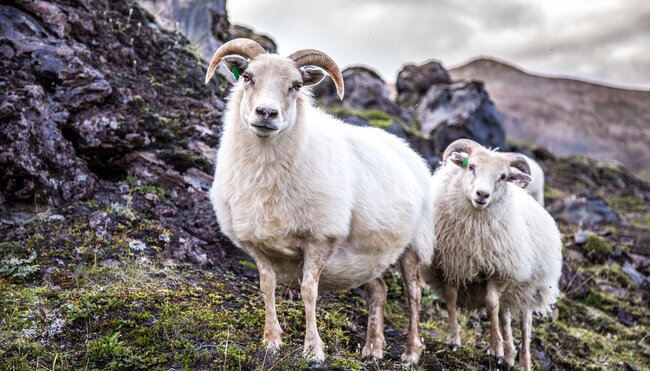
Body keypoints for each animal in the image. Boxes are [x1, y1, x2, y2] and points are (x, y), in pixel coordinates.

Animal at [205, 39, 432, 364]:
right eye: (247, 77)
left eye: (296, 85)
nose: (266, 113)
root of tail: (405, 148)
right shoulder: (254, 243)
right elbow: (266, 286)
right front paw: (271, 341)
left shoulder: (320, 238)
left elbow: (308, 291)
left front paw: (313, 350)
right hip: (366, 254)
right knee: (379, 290)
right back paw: (372, 348)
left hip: (414, 245)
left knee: (414, 293)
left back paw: (411, 352)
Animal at [426, 138, 560, 370]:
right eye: (471, 166)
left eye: (503, 177)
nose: (482, 194)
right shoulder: (451, 263)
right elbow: (452, 298)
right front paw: (454, 340)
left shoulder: (500, 270)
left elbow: (491, 304)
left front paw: (495, 349)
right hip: (511, 291)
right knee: (505, 317)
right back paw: (509, 355)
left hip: (528, 288)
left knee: (525, 323)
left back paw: (523, 361)